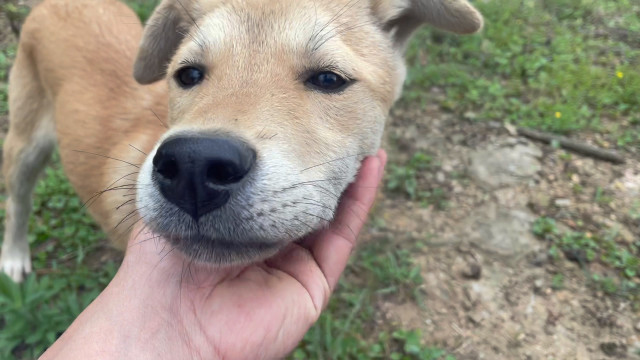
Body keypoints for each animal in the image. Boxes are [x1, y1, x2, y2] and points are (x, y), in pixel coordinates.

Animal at [0, 0, 480, 282]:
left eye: (329, 79)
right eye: (188, 73)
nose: (193, 167)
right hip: (24, 144)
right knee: (18, 202)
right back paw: (14, 257)